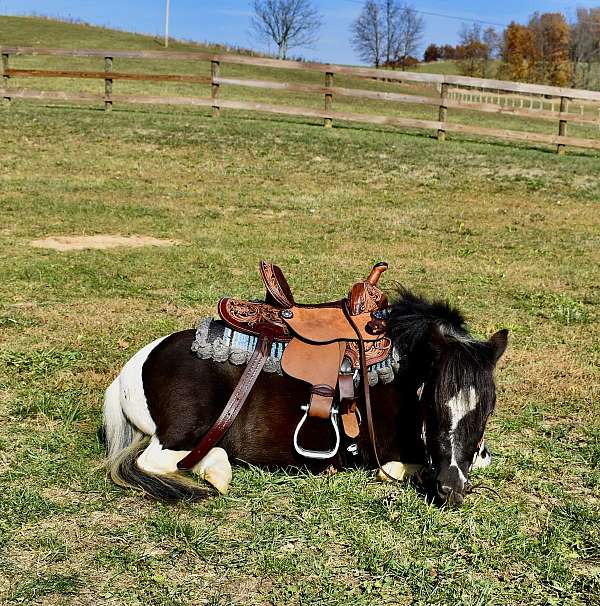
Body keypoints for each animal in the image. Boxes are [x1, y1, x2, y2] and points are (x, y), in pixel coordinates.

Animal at [102, 288, 506, 506]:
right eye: (433, 403)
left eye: (487, 410)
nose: (451, 487)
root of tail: (131, 368)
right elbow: (397, 467)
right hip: (186, 428)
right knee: (156, 459)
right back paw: (218, 469)